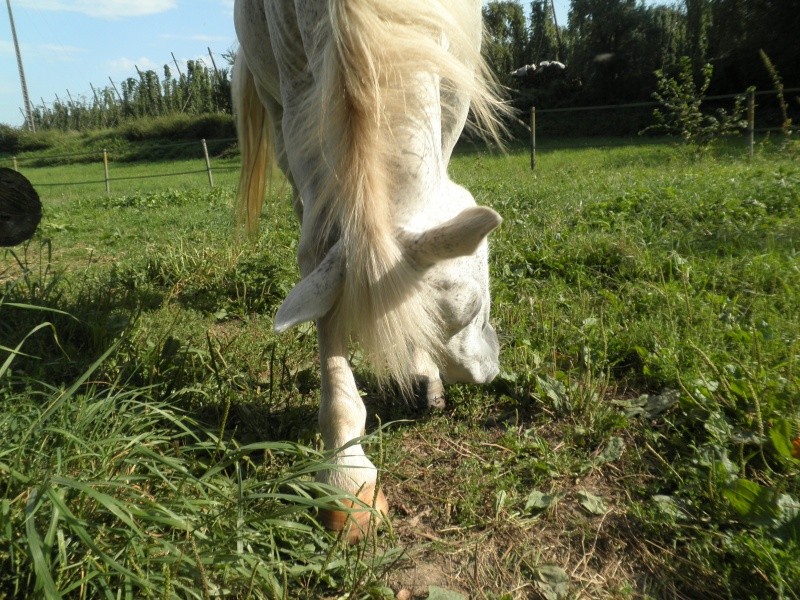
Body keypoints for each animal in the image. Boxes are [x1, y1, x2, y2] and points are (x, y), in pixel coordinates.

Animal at [233, 0, 506, 540]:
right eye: (471, 309)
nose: (491, 365)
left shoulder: (448, 86)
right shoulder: (298, 96)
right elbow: (322, 257)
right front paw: (346, 478)